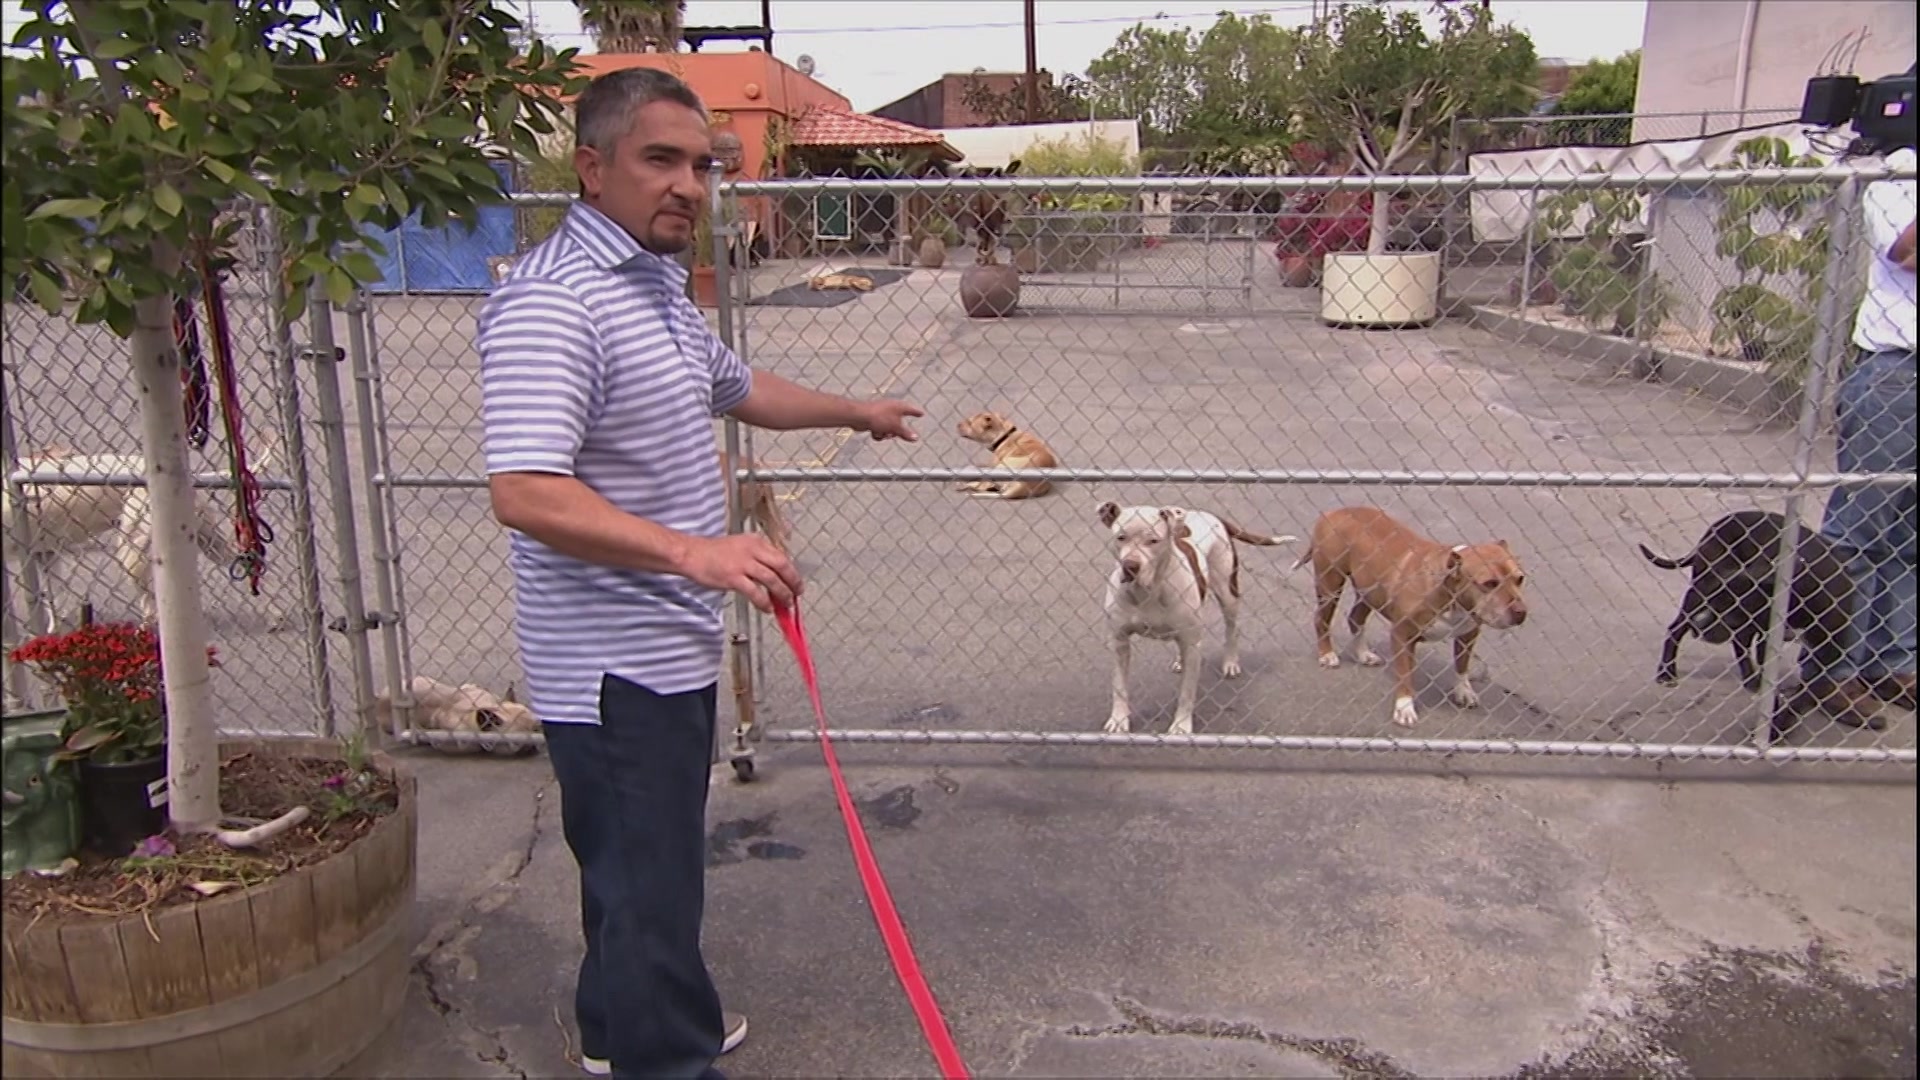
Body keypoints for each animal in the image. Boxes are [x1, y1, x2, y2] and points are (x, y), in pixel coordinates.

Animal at [1099, 502, 1298, 735]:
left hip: (1227, 591)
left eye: (1154, 541)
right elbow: (1119, 686)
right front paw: (1119, 720)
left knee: (1232, 628)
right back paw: (1180, 660)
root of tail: (1211, 515)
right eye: (1121, 537)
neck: (1148, 590)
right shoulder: (1119, 641)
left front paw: (1181, 726)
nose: (1130, 565)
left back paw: (1231, 662)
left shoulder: (1193, 646)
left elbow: (1187, 692)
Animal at [1295, 506, 1530, 728]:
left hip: (1370, 591)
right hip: (1330, 583)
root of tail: (1334, 511)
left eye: (1520, 579)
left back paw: (1363, 654)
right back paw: (1327, 654)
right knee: (1321, 619)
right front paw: (1405, 708)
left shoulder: (1468, 633)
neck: (1450, 594)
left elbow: (1462, 665)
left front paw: (1464, 691)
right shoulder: (1403, 636)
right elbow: (1405, 674)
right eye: (1490, 583)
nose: (1521, 611)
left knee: (1356, 618)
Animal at [1638, 509, 1872, 734]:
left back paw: (1749, 678)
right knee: (1676, 629)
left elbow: (1803, 695)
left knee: (1739, 640)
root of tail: (1721, 522)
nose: (1698, 625)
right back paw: (1667, 672)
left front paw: (1781, 725)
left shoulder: (1828, 653)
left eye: (1731, 603)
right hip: (1698, 590)